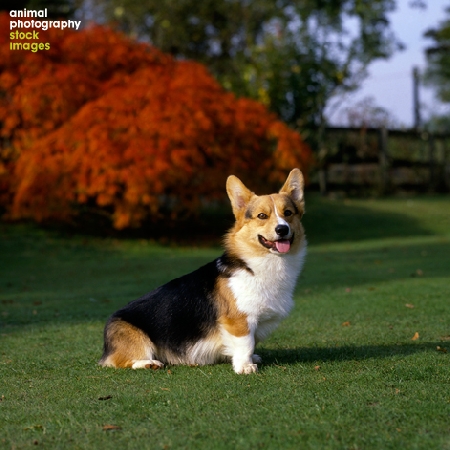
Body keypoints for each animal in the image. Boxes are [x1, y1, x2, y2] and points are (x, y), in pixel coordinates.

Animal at [100, 169, 308, 372]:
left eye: (288, 213)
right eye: (262, 216)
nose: (282, 229)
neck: (259, 264)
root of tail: (105, 348)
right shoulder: (239, 321)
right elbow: (246, 344)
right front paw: (244, 366)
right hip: (134, 338)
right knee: (118, 361)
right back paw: (148, 363)